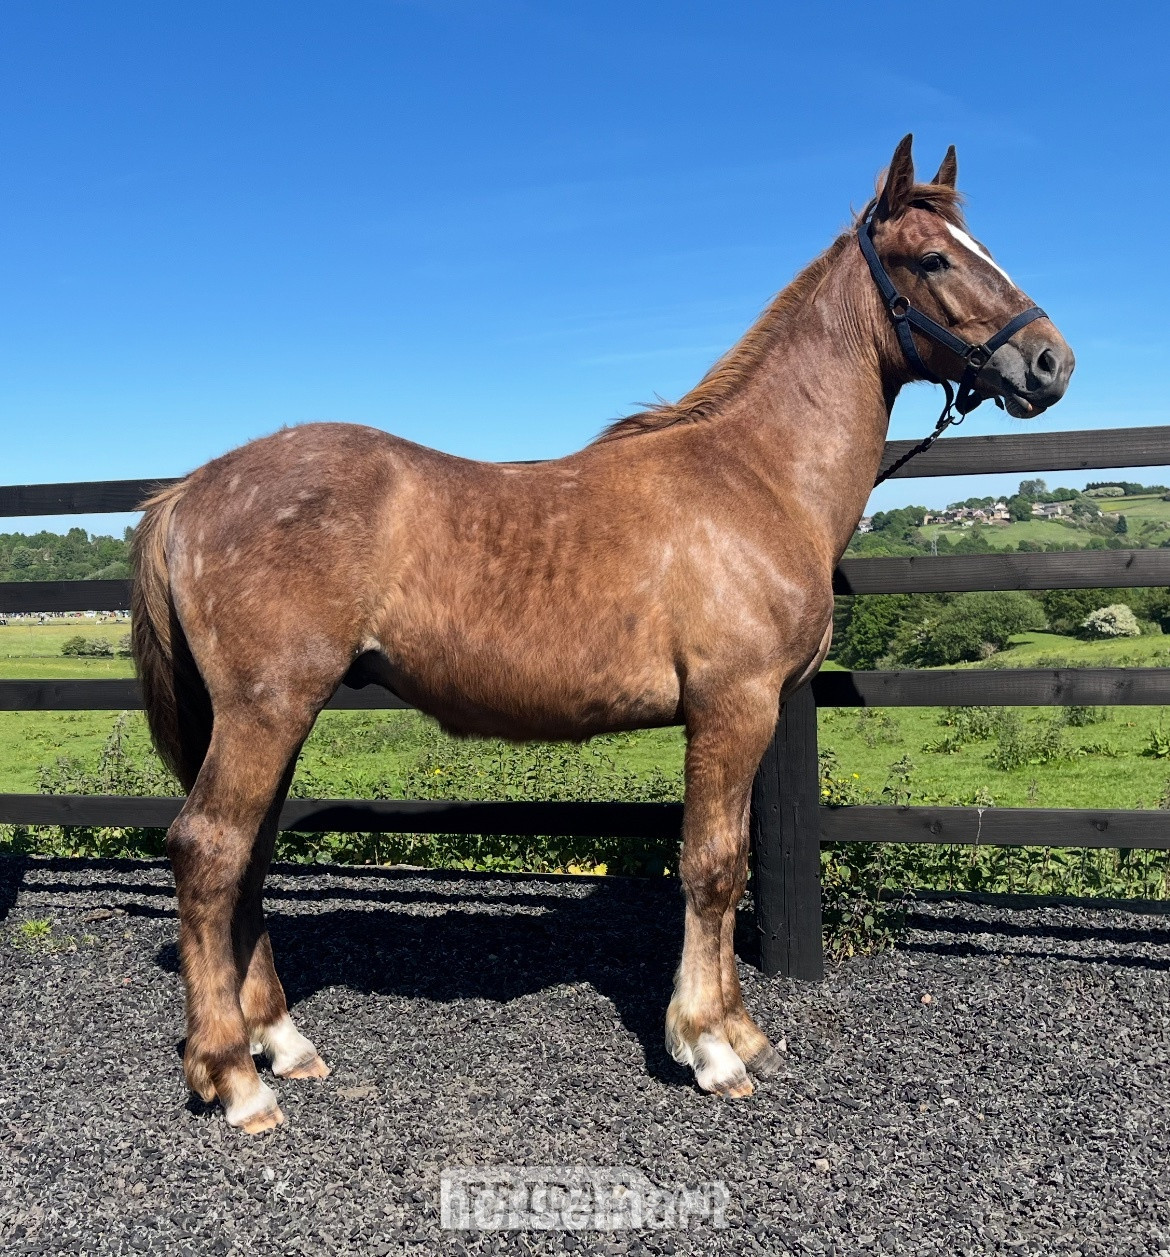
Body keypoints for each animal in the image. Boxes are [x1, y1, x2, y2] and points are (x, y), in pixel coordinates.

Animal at [131, 135, 1073, 1132]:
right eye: (933, 259)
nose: (1053, 361)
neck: (756, 475)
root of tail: (189, 490)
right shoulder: (732, 706)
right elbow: (711, 864)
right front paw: (707, 1048)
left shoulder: (749, 711)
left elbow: (730, 863)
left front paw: (742, 1034)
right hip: (267, 709)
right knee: (210, 852)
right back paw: (234, 1078)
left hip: (276, 716)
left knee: (249, 860)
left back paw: (283, 1042)